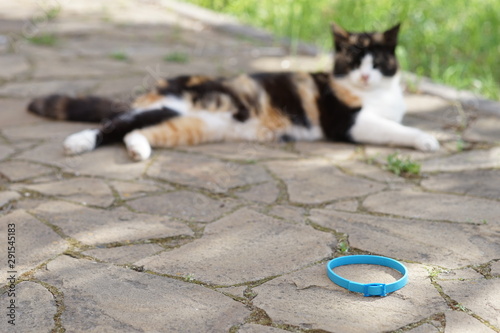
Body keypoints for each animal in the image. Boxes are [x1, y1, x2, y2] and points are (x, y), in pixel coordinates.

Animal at [26, 22, 438, 160]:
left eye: (376, 61)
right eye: (353, 61)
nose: (365, 76)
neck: (377, 96)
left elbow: (396, 123)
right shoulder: (347, 121)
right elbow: (395, 129)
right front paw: (427, 139)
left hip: (190, 125)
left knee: (136, 132)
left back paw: (138, 150)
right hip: (172, 105)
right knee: (114, 123)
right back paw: (78, 142)